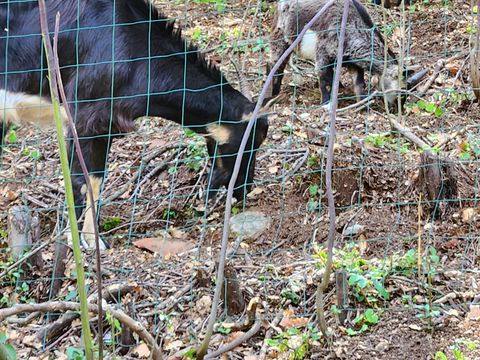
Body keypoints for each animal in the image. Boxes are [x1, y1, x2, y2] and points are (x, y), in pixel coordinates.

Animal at [0, 0, 270, 248]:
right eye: (250, 141)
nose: (244, 188)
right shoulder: (84, 118)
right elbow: (82, 181)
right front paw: (83, 244)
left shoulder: (106, 126)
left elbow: (97, 179)